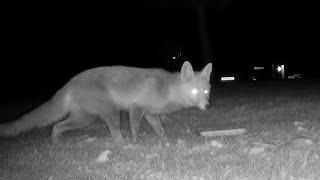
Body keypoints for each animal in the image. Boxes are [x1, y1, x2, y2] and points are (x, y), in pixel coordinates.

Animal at [0, 61, 212, 143]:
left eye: (206, 92)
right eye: (195, 92)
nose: (207, 106)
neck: (167, 90)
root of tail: (71, 81)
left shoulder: (151, 114)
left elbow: (160, 130)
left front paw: (165, 142)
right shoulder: (136, 108)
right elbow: (135, 129)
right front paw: (136, 144)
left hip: (85, 118)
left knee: (56, 126)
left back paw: (55, 143)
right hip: (109, 113)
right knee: (116, 133)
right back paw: (124, 145)